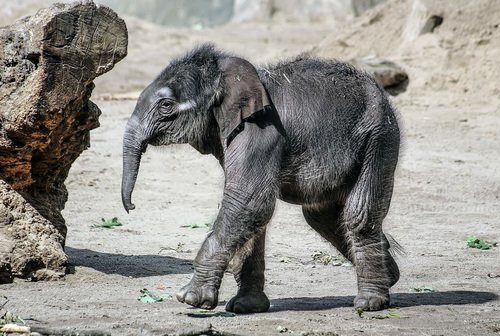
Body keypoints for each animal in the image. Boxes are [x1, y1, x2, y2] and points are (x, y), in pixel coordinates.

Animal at [122, 44, 402, 312]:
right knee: (323, 217)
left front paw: (190, 298)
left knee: (358, 214)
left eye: (166, 105)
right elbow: (248, 214)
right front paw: (246, 307)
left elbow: (249, 203)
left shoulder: (261, 131)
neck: (227, 75)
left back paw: (370, 303)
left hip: (380, 137)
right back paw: (391, 275)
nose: (131, 206)